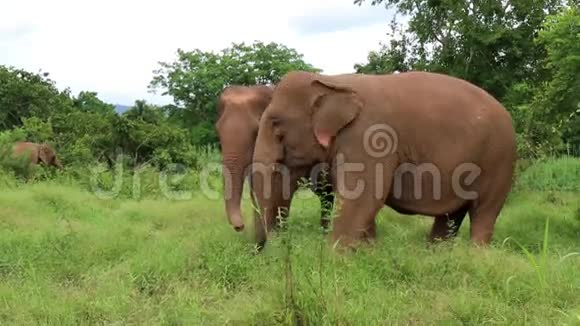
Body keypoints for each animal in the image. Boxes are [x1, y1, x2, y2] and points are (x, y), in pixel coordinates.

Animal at [249, 70, 516, 250]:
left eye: (277, 126)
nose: (268, 248)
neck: (330, 80)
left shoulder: (369, 138)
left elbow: (362, 197)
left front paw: (336, 256)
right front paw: (369, 252)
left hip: (499, 160)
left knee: (484, 213)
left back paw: (476, 256)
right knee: (450, 216)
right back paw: (435, 255)